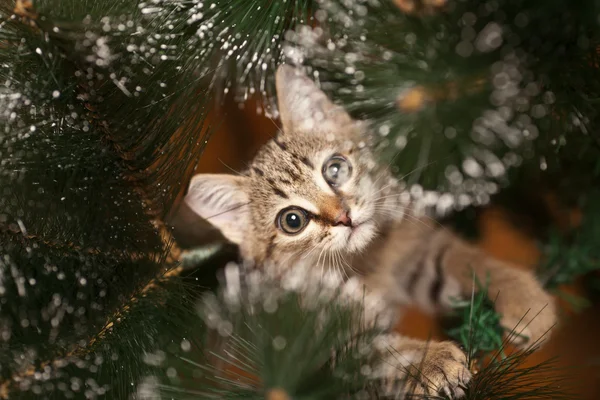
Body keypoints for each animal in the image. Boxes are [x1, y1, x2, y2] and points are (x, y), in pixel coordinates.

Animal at [184, 65, 556, 396]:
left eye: (335, 169)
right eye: (292, 221)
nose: (343, 217)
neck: (365, 264)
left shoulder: (414, 253)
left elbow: (464, 258)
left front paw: (526, 299)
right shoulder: (316, 340)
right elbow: (375, 351)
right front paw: (430, 360)